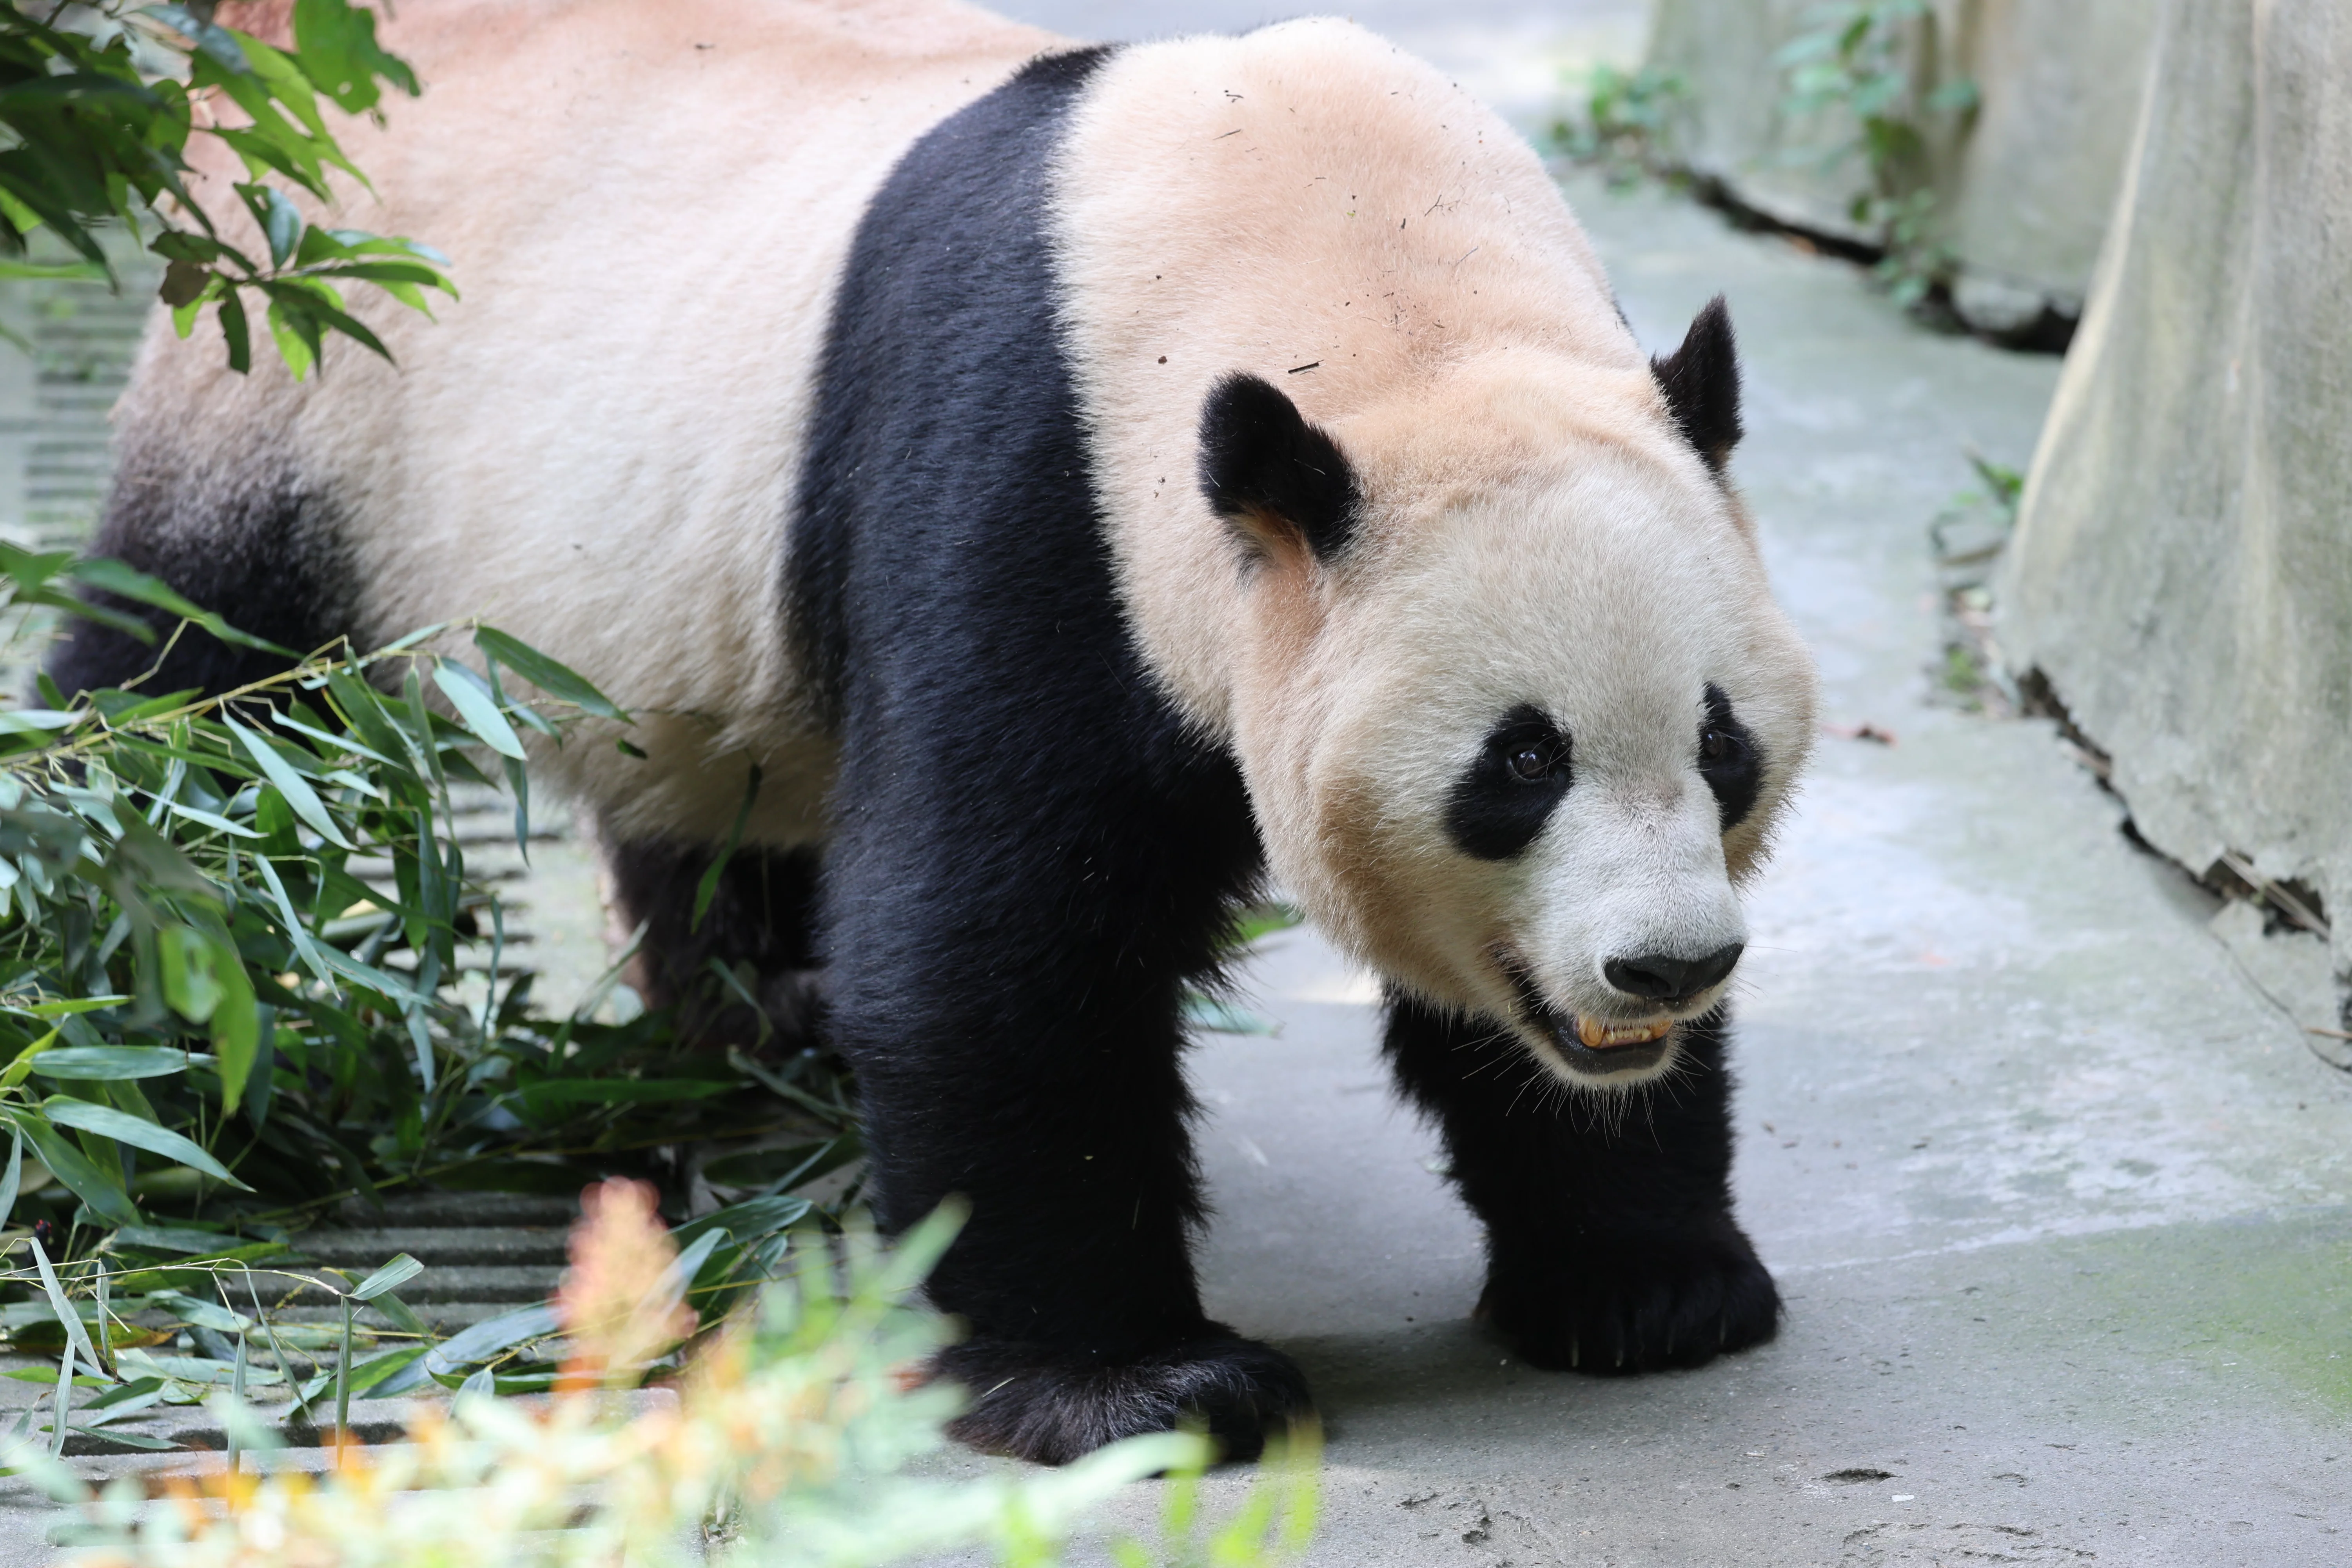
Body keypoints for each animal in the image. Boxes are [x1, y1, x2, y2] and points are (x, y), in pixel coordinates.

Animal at [52, 0, 1817, 1464]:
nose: (1664, 968)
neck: (1368, 278)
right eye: (1519, 765)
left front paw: (1647, 1284)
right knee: (185, 691)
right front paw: (1137, 1390)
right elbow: (997, 945)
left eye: (1721, 748)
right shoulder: (1037, 487)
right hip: (298, 385)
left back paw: (767, 1007)